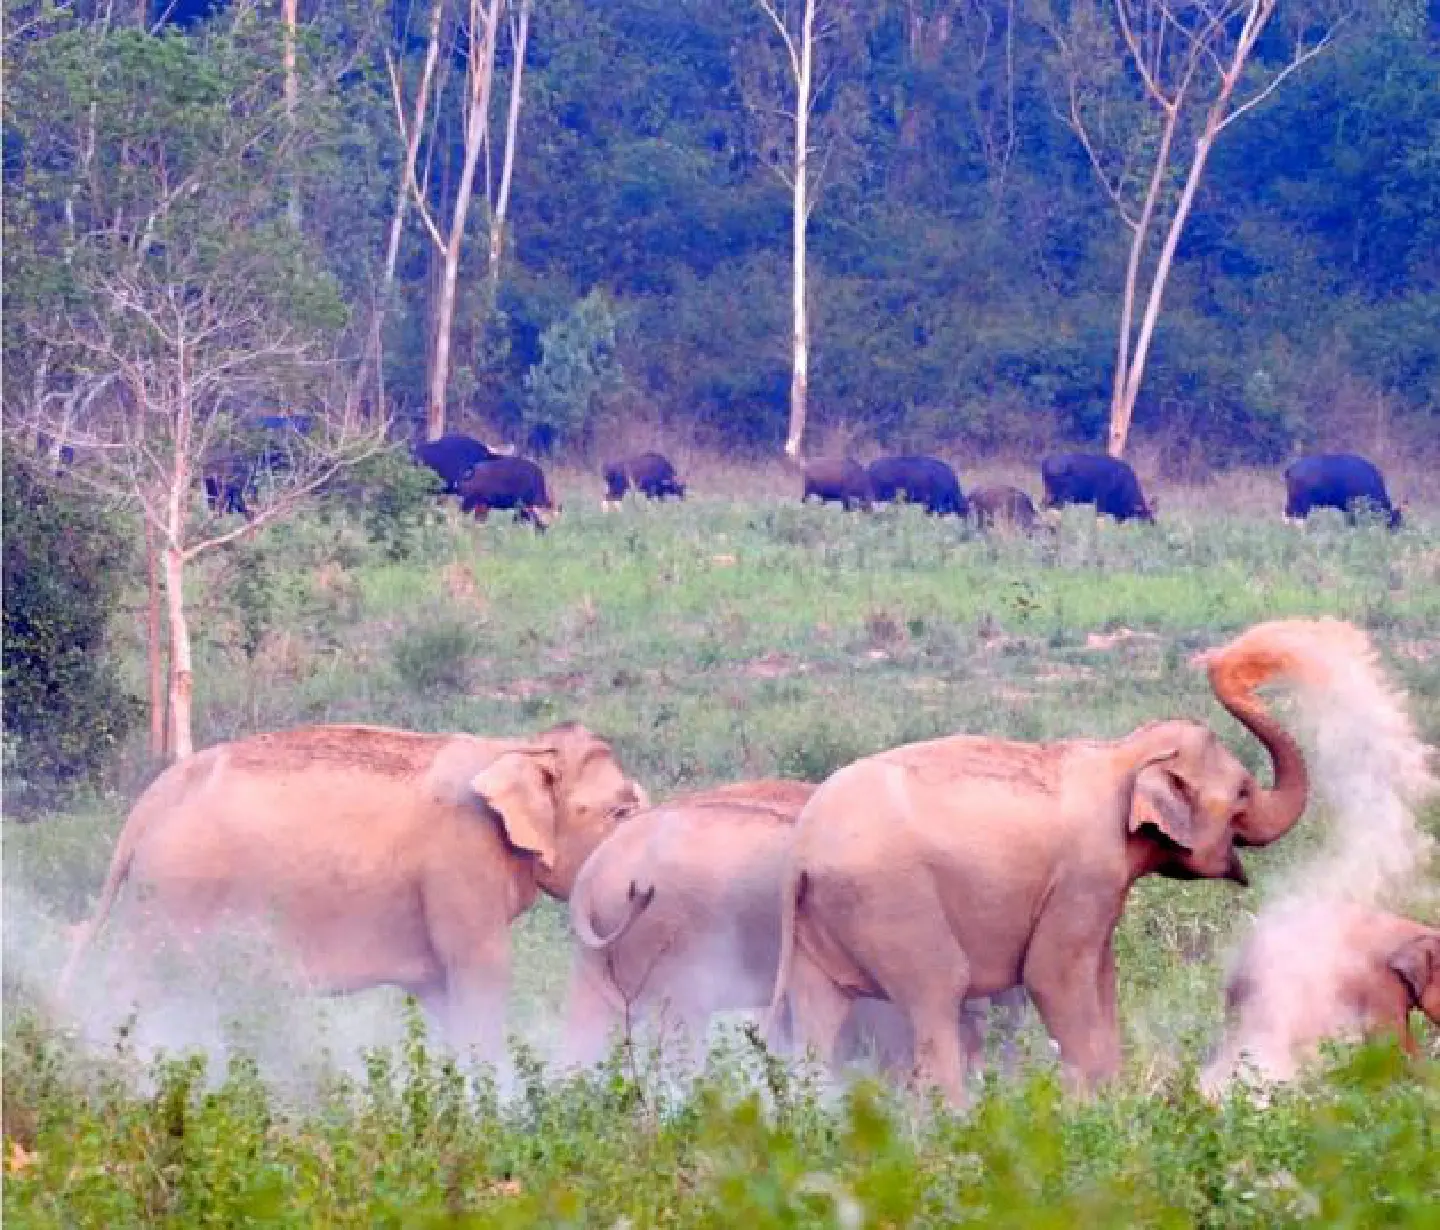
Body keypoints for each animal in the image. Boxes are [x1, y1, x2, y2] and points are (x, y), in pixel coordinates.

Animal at [58, 721, 648, 1055]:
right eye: (620, 811)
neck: (518, 749)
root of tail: (149, 802)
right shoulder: (460, 863)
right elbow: (480, 970)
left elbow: (439, 990)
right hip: (175, 892)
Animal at [764, 619, 1353, 1103]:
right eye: (1244, 793)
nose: (1235, 655)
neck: (1122, 754)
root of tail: (800, 853)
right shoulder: (1085, 875)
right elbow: (1053, 976)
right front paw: (1094, 1109)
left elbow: (1102, 976)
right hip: (890, 902)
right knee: (937, 997)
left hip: (822, 928)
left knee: (817, 1024)